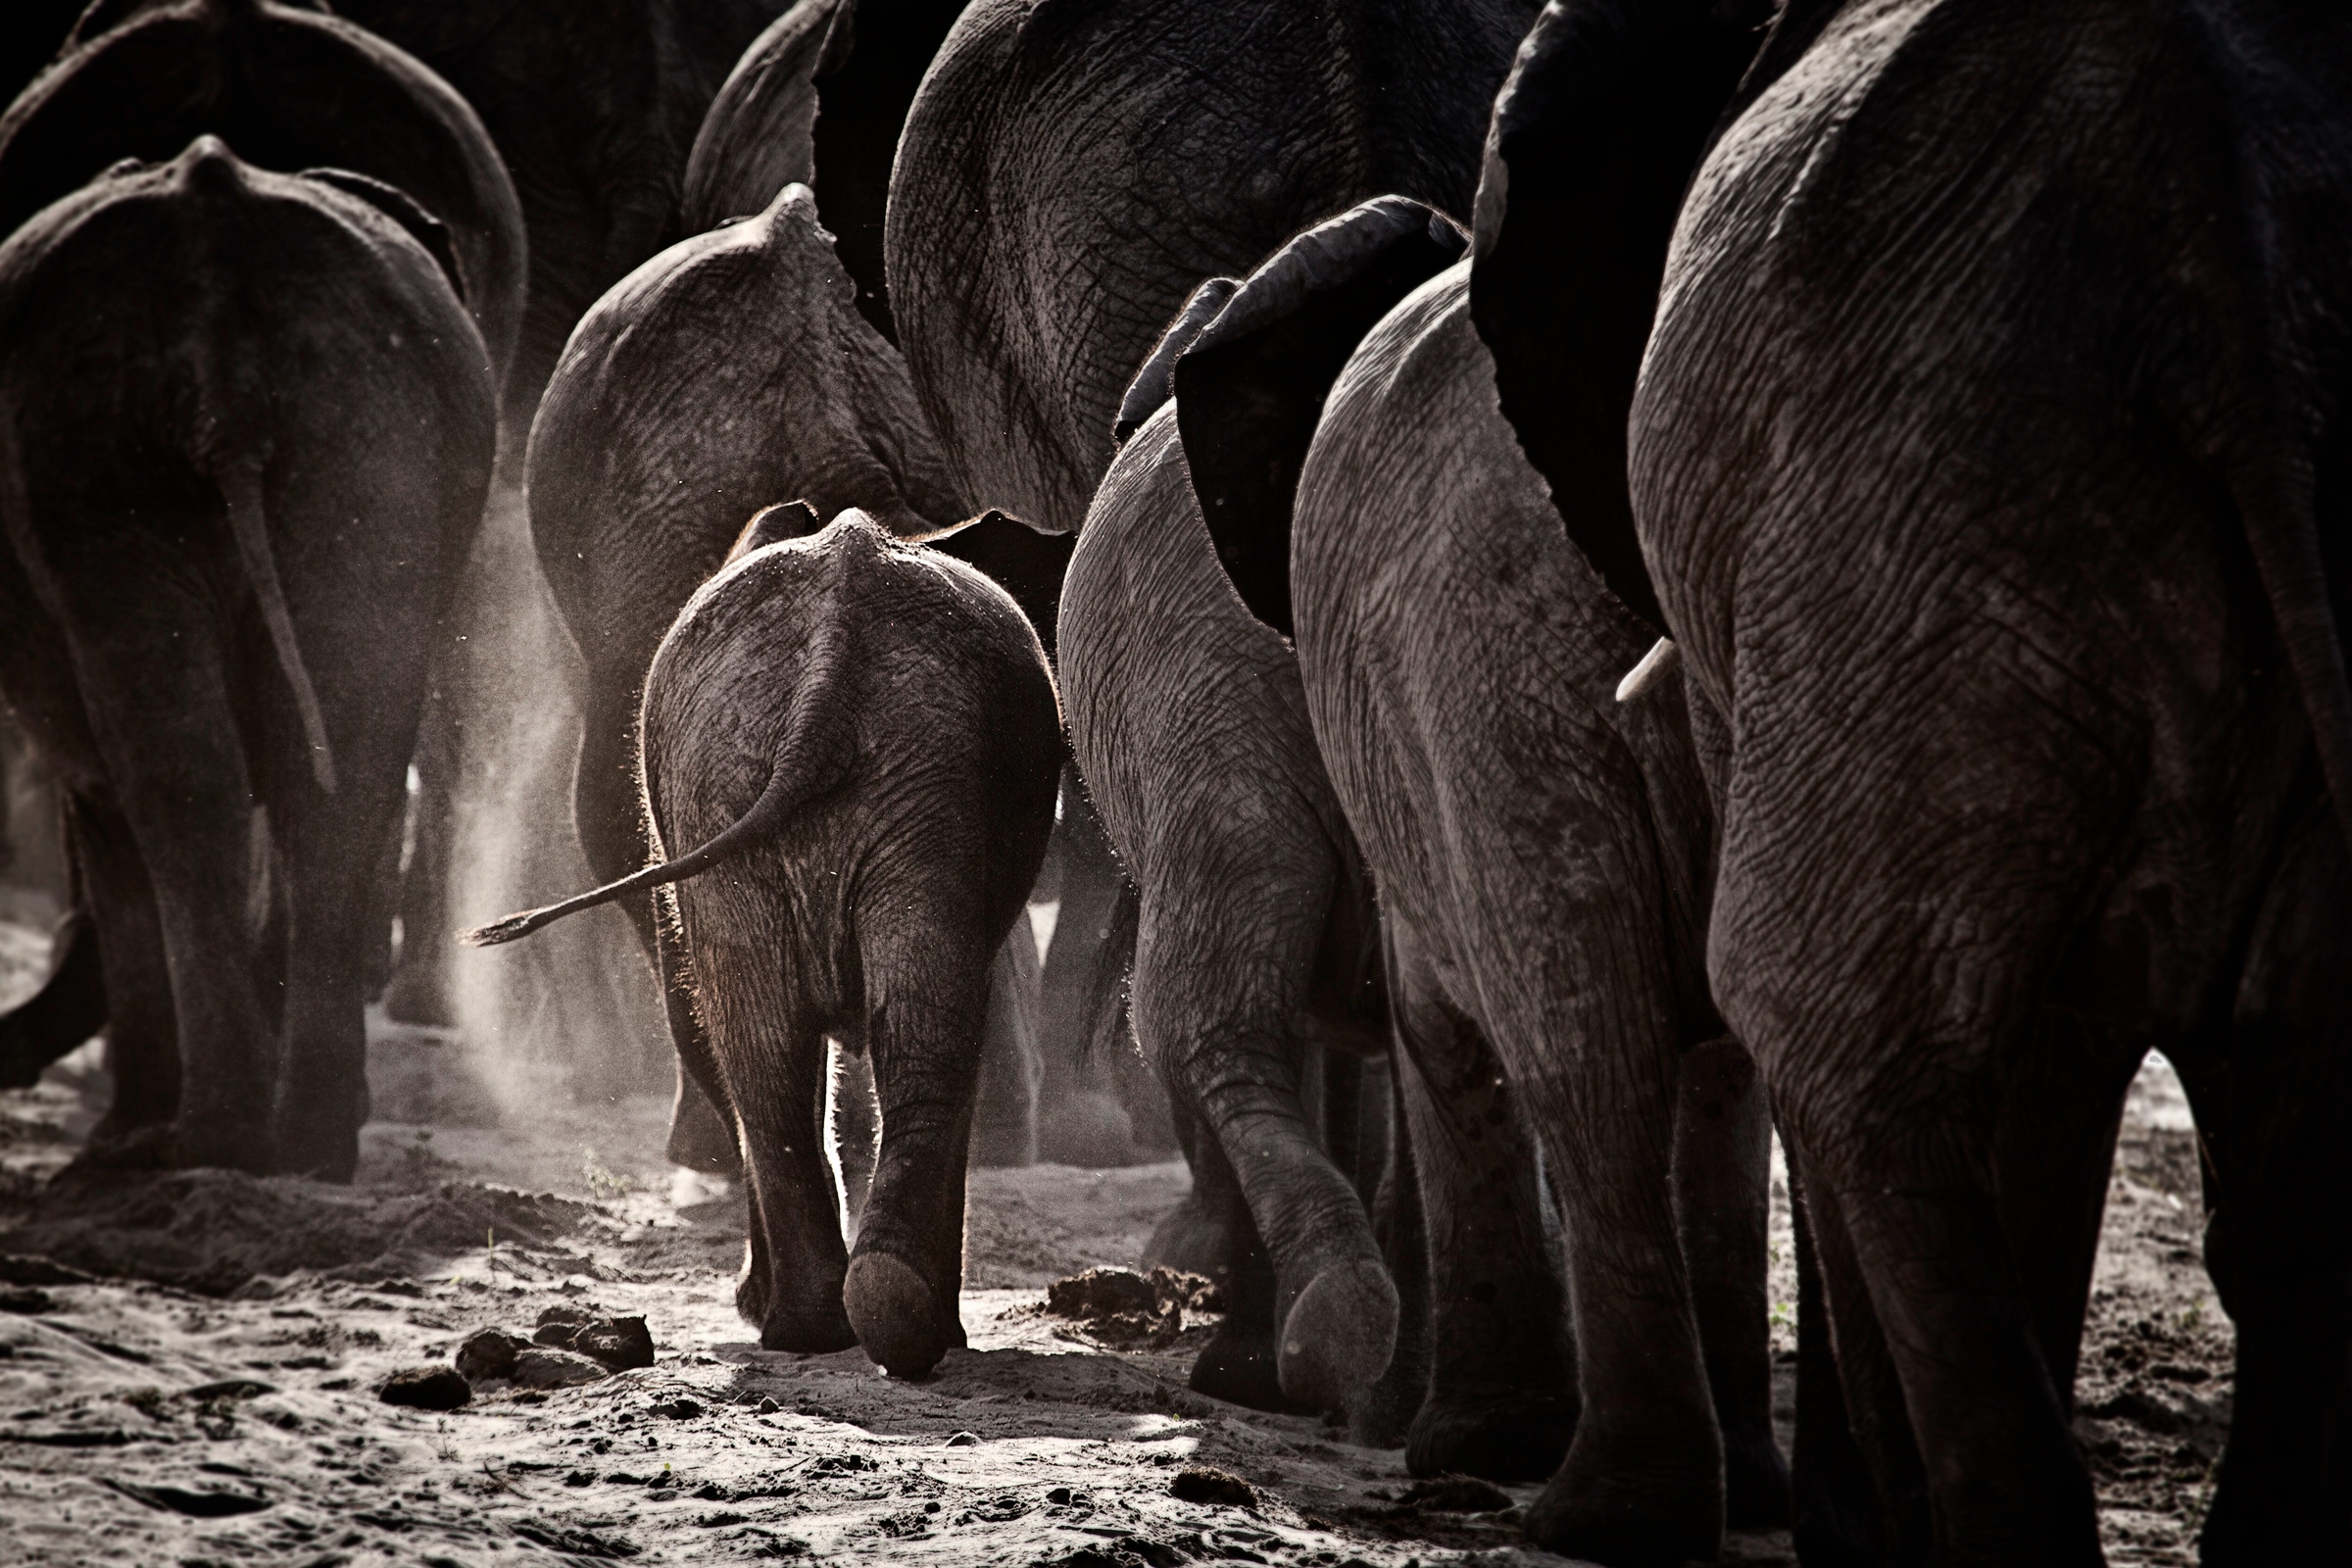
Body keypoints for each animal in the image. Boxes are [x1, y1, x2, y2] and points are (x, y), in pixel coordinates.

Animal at [0, 137, 491, 1175]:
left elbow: (99, 798)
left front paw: (123, 1133)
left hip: (85, 457)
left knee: (172, 782)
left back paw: (189, 1140)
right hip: (369, 438)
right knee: (341, 767)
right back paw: (305, 1142)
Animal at [456, 512, 1058, 1372]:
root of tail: (831, 658)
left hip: (855, 778)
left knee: (800, 1044)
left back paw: (843, 1323)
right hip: (804, 776)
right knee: (827, 1040)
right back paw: (849, 1326)